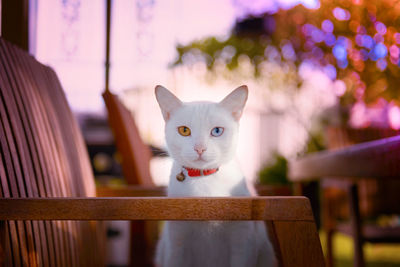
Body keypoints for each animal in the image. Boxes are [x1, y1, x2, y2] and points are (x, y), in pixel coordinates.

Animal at [155, 86, 276, 267]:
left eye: (217, 131)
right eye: (184, 130)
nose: (200, 148)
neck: (204, 182)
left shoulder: (242, 239)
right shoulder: (176, 241)